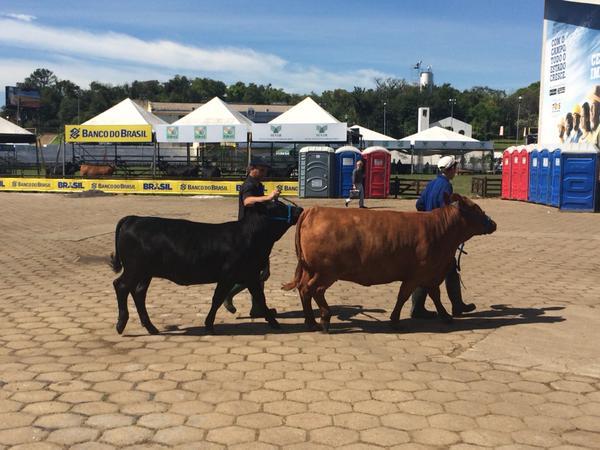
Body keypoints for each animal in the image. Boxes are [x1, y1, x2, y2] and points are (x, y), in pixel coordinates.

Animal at [109, 200, 302, 334]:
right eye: (277, 206)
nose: (299, 210)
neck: (250, 235)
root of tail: (134, 218)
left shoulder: (251, 275)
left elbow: (260, 298)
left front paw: (274, 322)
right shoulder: (228, 275)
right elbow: (217, 299)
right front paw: (209, 325)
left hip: (145, 273)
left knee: (138, 293)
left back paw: (151, 327)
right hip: (135, 269)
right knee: (121, 286)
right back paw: (121, 324)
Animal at [284, 192, 500, 332]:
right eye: (475, 208)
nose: (493, 223)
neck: (438, 229)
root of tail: (313, 210)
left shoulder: (430, 274)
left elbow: (435, 295)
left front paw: (445, 315)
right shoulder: (416, 275)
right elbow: (403, 296)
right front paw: (395, 320)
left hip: (310, 269)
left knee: (304, 289)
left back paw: (311, 321)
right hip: (326, 272)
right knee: (315, 290)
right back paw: (325, 318)